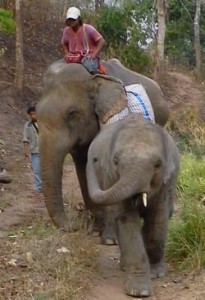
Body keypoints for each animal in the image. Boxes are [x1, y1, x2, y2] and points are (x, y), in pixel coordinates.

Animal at [37, 58, 169, 232]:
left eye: (72, 113)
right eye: (35, 113)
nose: (75, 225)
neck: (94, 78)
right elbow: (83, 167)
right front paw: (96, 223)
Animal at [86, 114, 179, 298]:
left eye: (157, 165)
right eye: (115, 161)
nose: (94, 159)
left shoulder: (166, 183)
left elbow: (158, 221)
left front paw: (156, 274)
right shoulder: (112, 178)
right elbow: (127, 222)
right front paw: (139, 292)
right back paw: (123, 266)